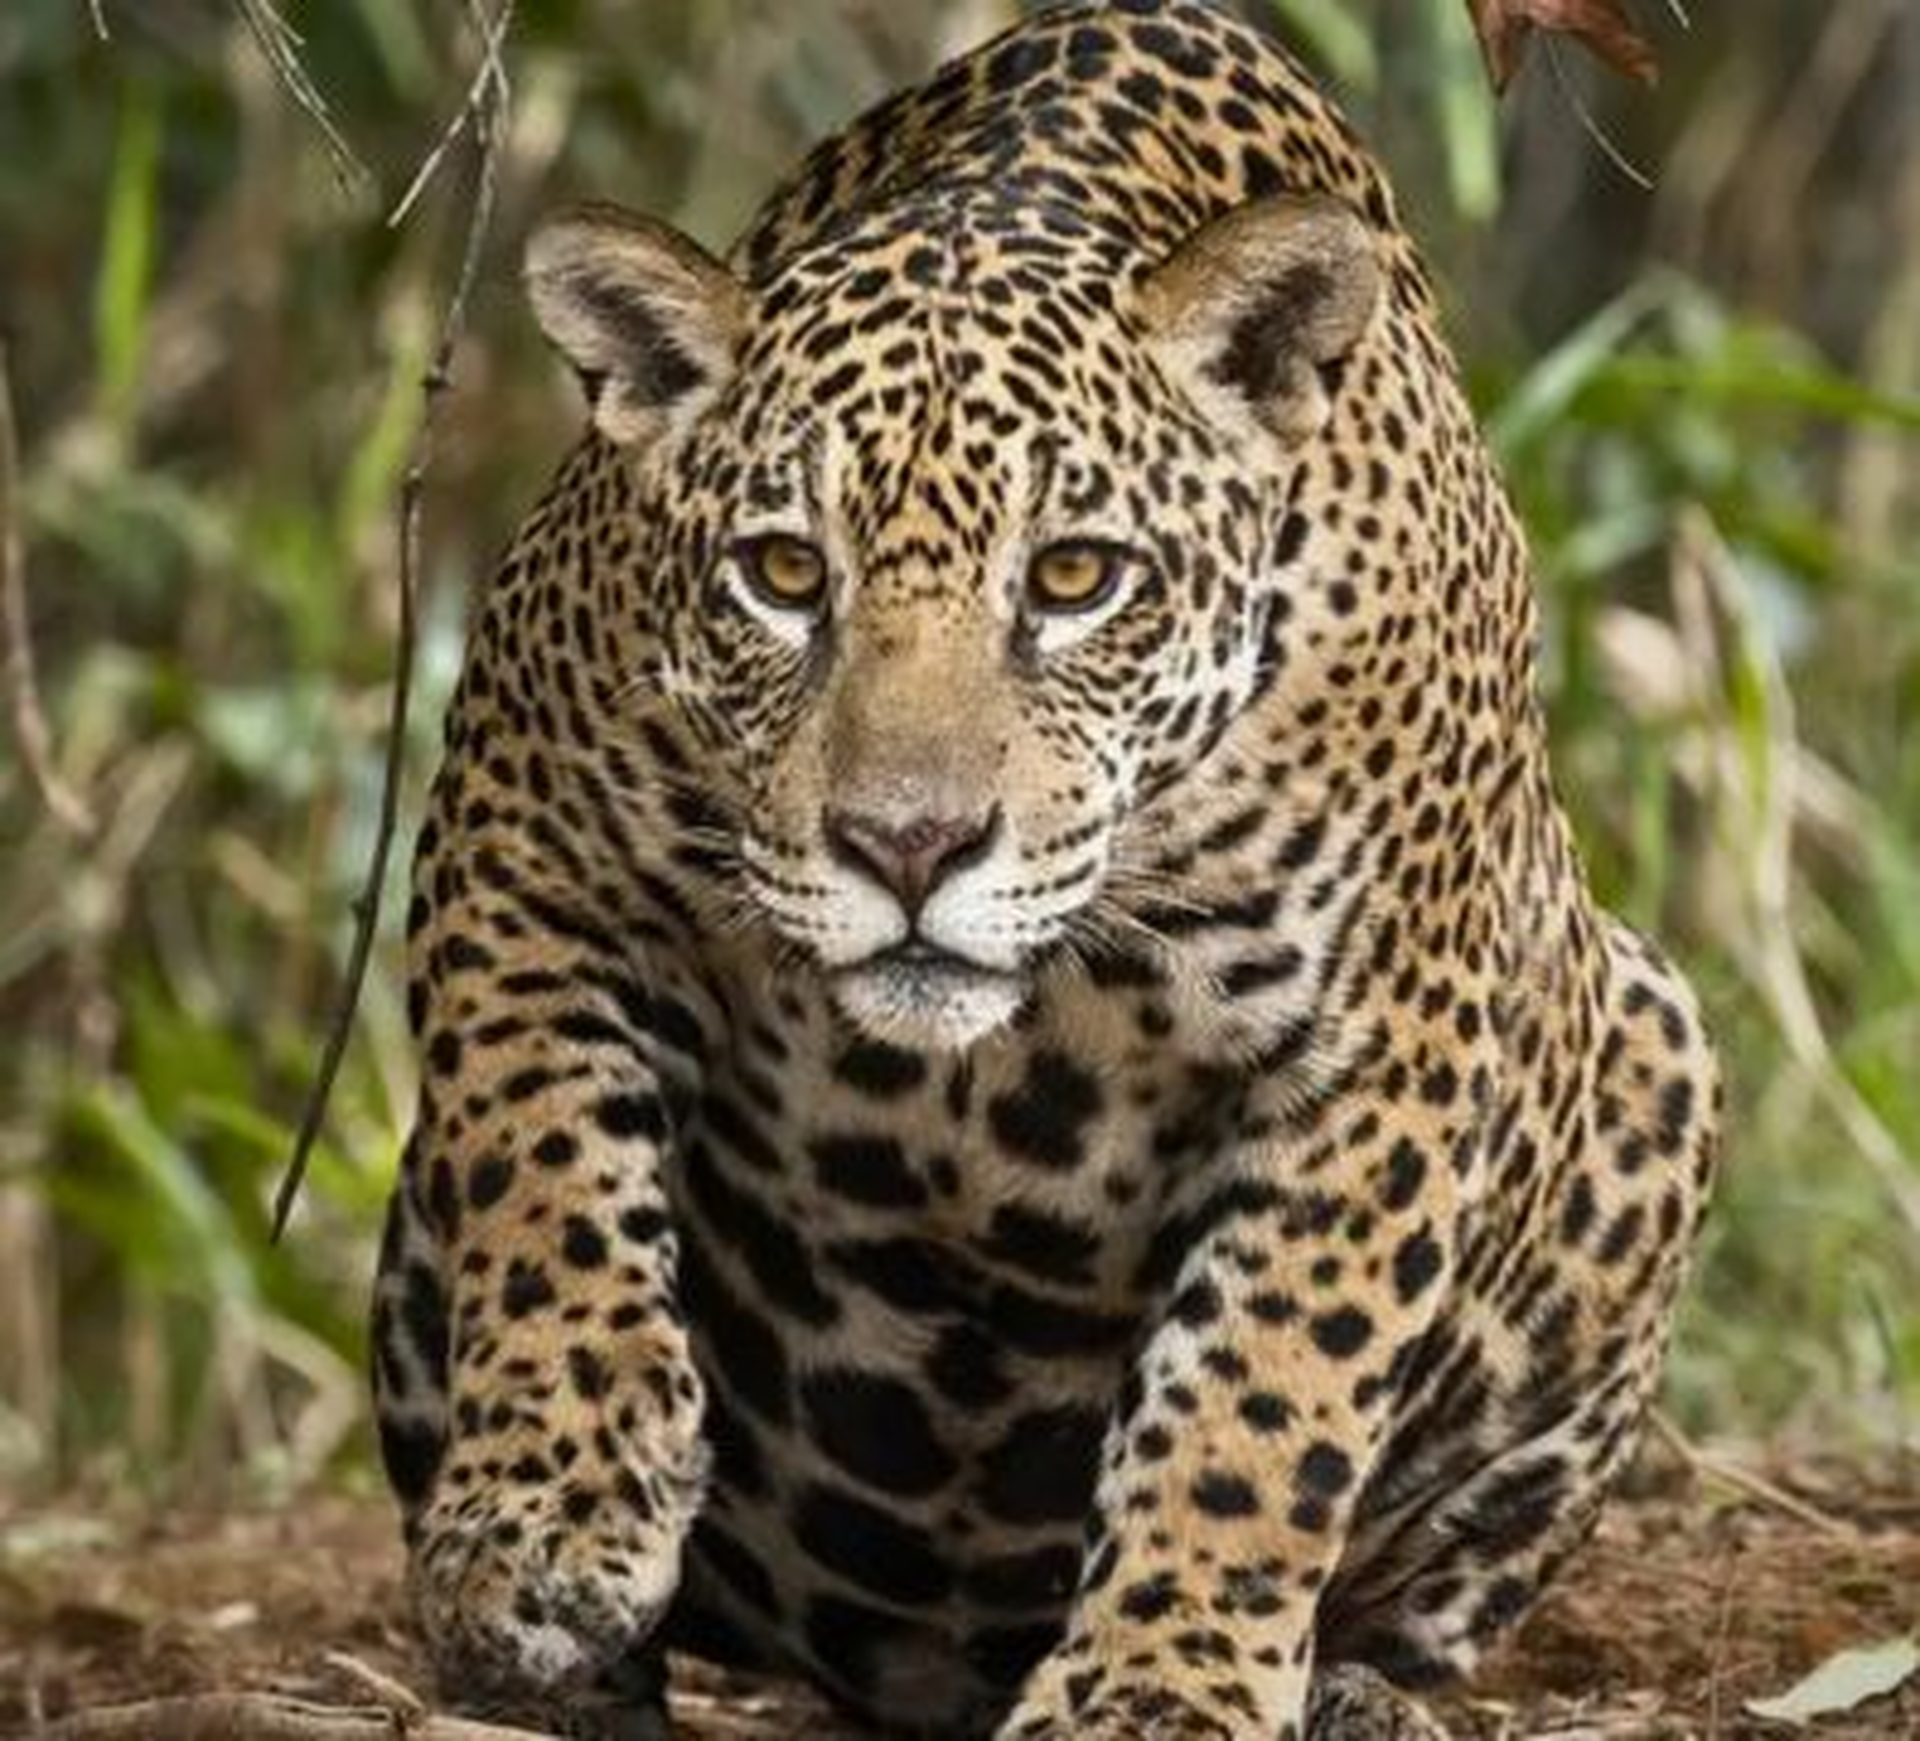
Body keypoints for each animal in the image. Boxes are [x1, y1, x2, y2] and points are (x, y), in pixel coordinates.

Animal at [369, 3, 1721, 1737]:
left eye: (1076, 578)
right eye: (784, 572)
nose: (908, 845)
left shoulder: (1385, 1038)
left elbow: (1267, 1385)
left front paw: (1161, 1677)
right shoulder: (519, 831)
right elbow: (543, 1172)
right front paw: (547, 1518)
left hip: (1653, 1050)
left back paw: (1359, 1688)